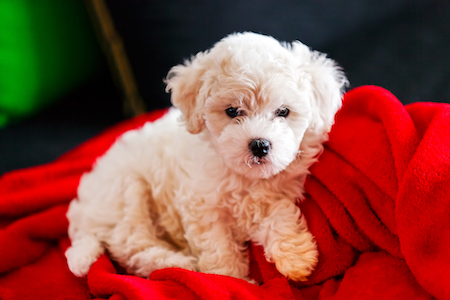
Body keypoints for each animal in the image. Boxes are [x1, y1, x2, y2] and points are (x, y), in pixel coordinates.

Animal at [66, 31, 348, 282]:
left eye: (283, 111)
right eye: (232, 111)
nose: (259, 145)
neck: (245, 178)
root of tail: (82, 214)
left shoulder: (277, 191)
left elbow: (279, 214)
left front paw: (296, 256)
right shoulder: (204, 209)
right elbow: (219, 249)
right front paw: (229, 280)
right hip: (127, 196)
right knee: (134, 248)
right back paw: (178, 263)